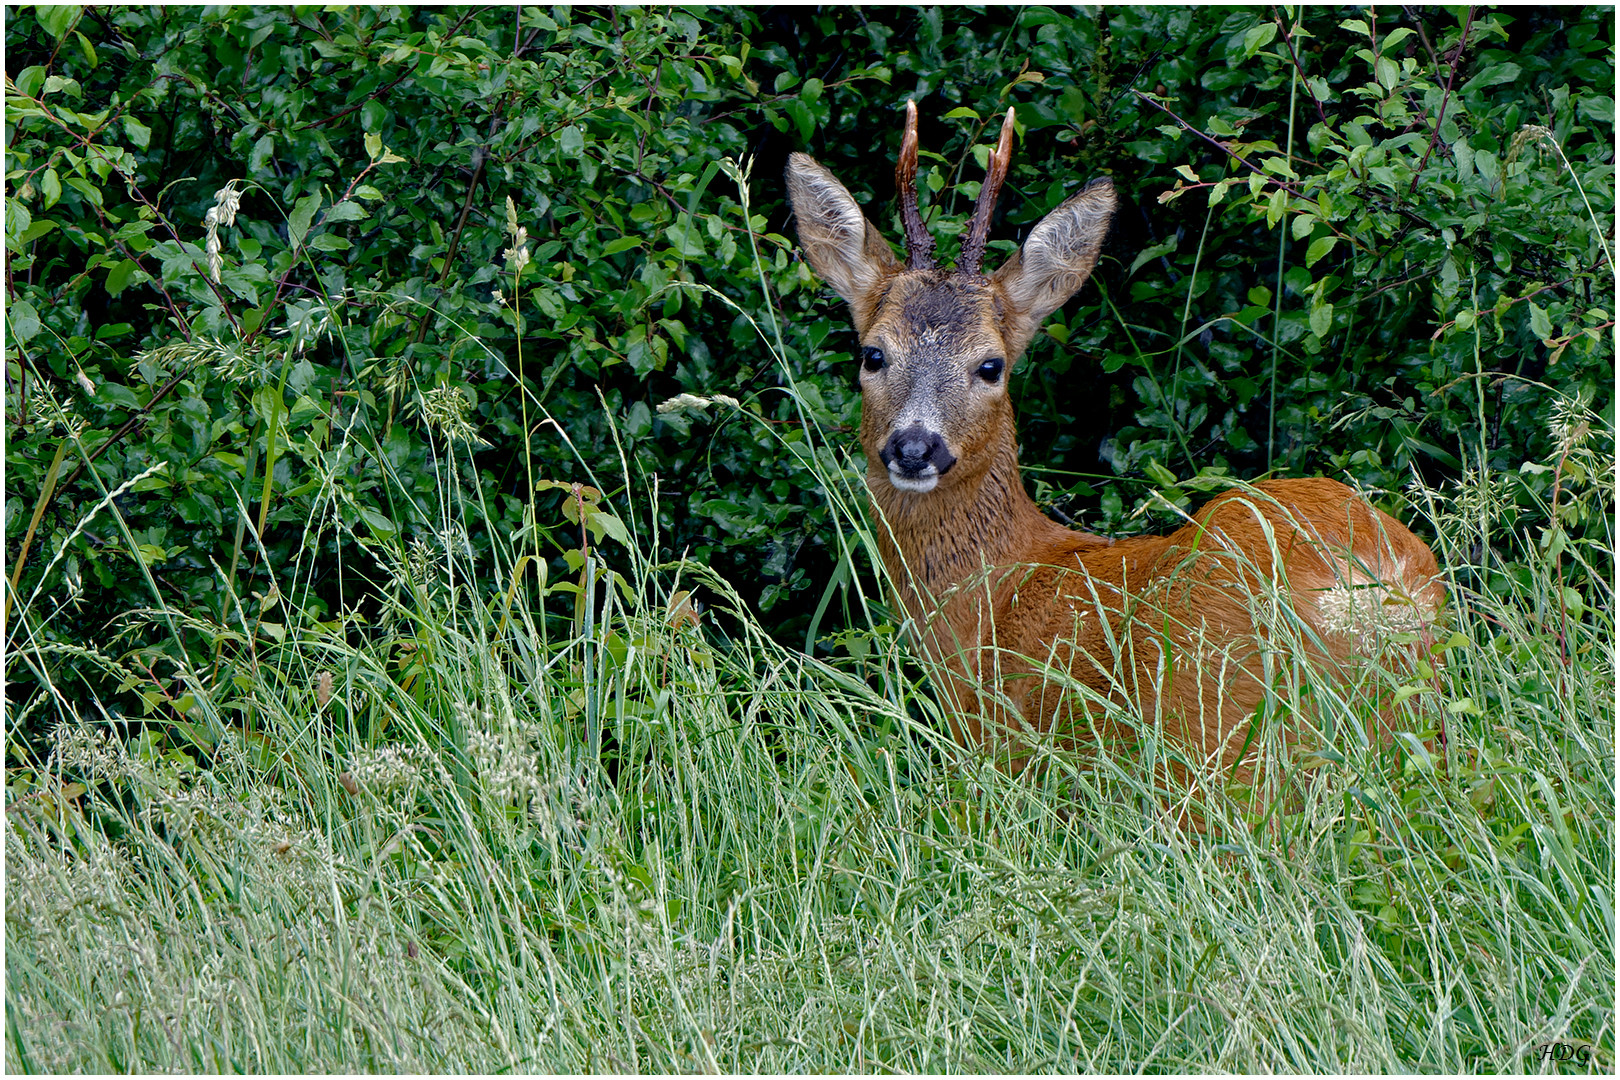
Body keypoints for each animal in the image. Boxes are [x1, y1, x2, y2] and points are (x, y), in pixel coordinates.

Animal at [784, 103, 1445, 786]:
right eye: (873, 354)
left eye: (991, 366)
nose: (915, 448)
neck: (998, 590)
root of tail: (1375, 586)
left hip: (1219, 733)